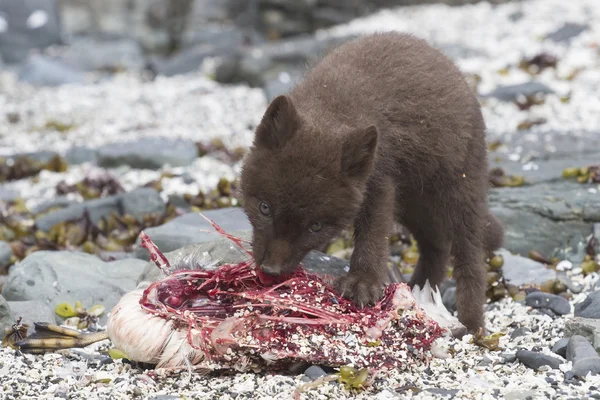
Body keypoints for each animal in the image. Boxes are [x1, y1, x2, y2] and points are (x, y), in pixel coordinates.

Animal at [238, 31, 502, 332]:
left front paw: (362, 283)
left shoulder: (380, 183)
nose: (270, 270)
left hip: (459, 191)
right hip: (416, 203)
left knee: (470, 256)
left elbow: (373, 235)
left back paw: (472, 324)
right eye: (264, 208)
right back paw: (417, 290)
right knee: (437, 246)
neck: (331, 107)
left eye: (316, 227)